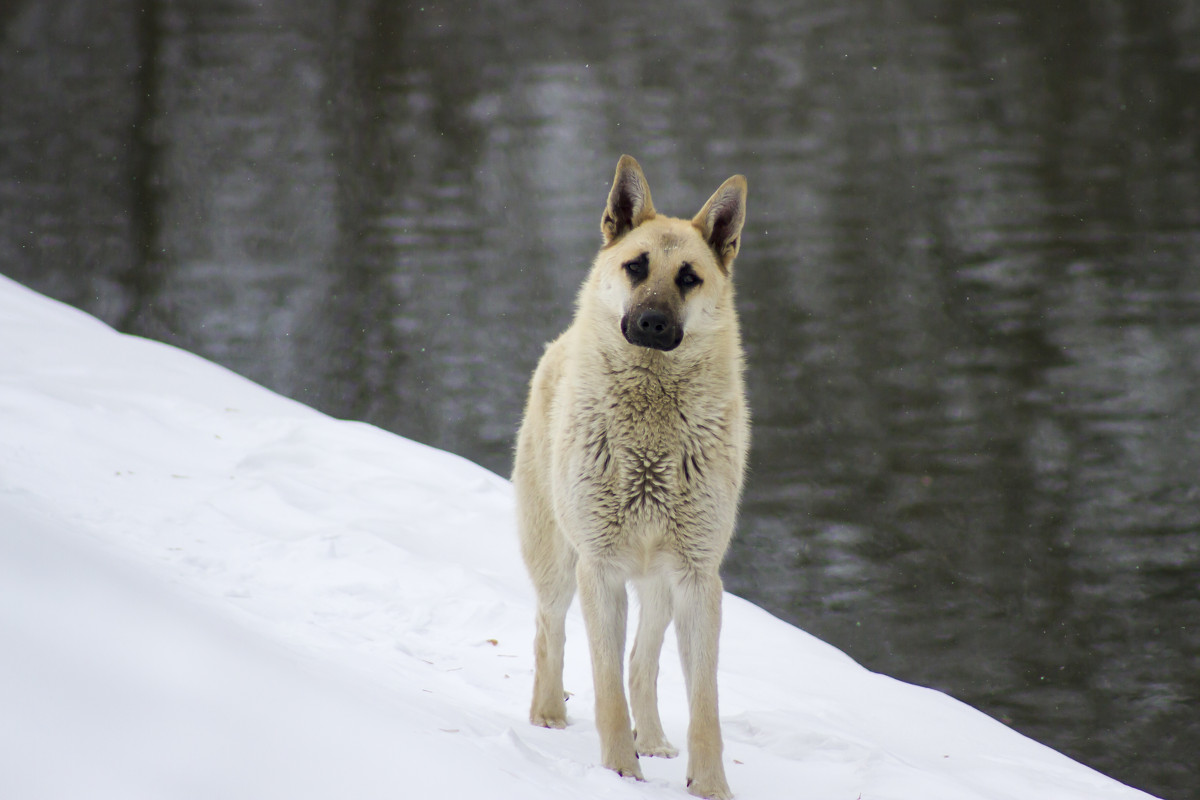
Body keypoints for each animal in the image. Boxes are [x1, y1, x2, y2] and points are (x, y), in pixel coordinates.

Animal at [516, 153, 748, 796]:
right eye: (636, 266)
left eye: (689, 278)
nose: (650, 323)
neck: (651, 439)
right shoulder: (600, 569)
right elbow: (606, 687)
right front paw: (620, 770)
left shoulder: (697, 580)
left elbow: (704, 703)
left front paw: (709, 785)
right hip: (559, 565)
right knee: (549, 630)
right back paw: (548, 714)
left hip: (660, 588)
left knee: (643, 664)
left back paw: (657, 741)